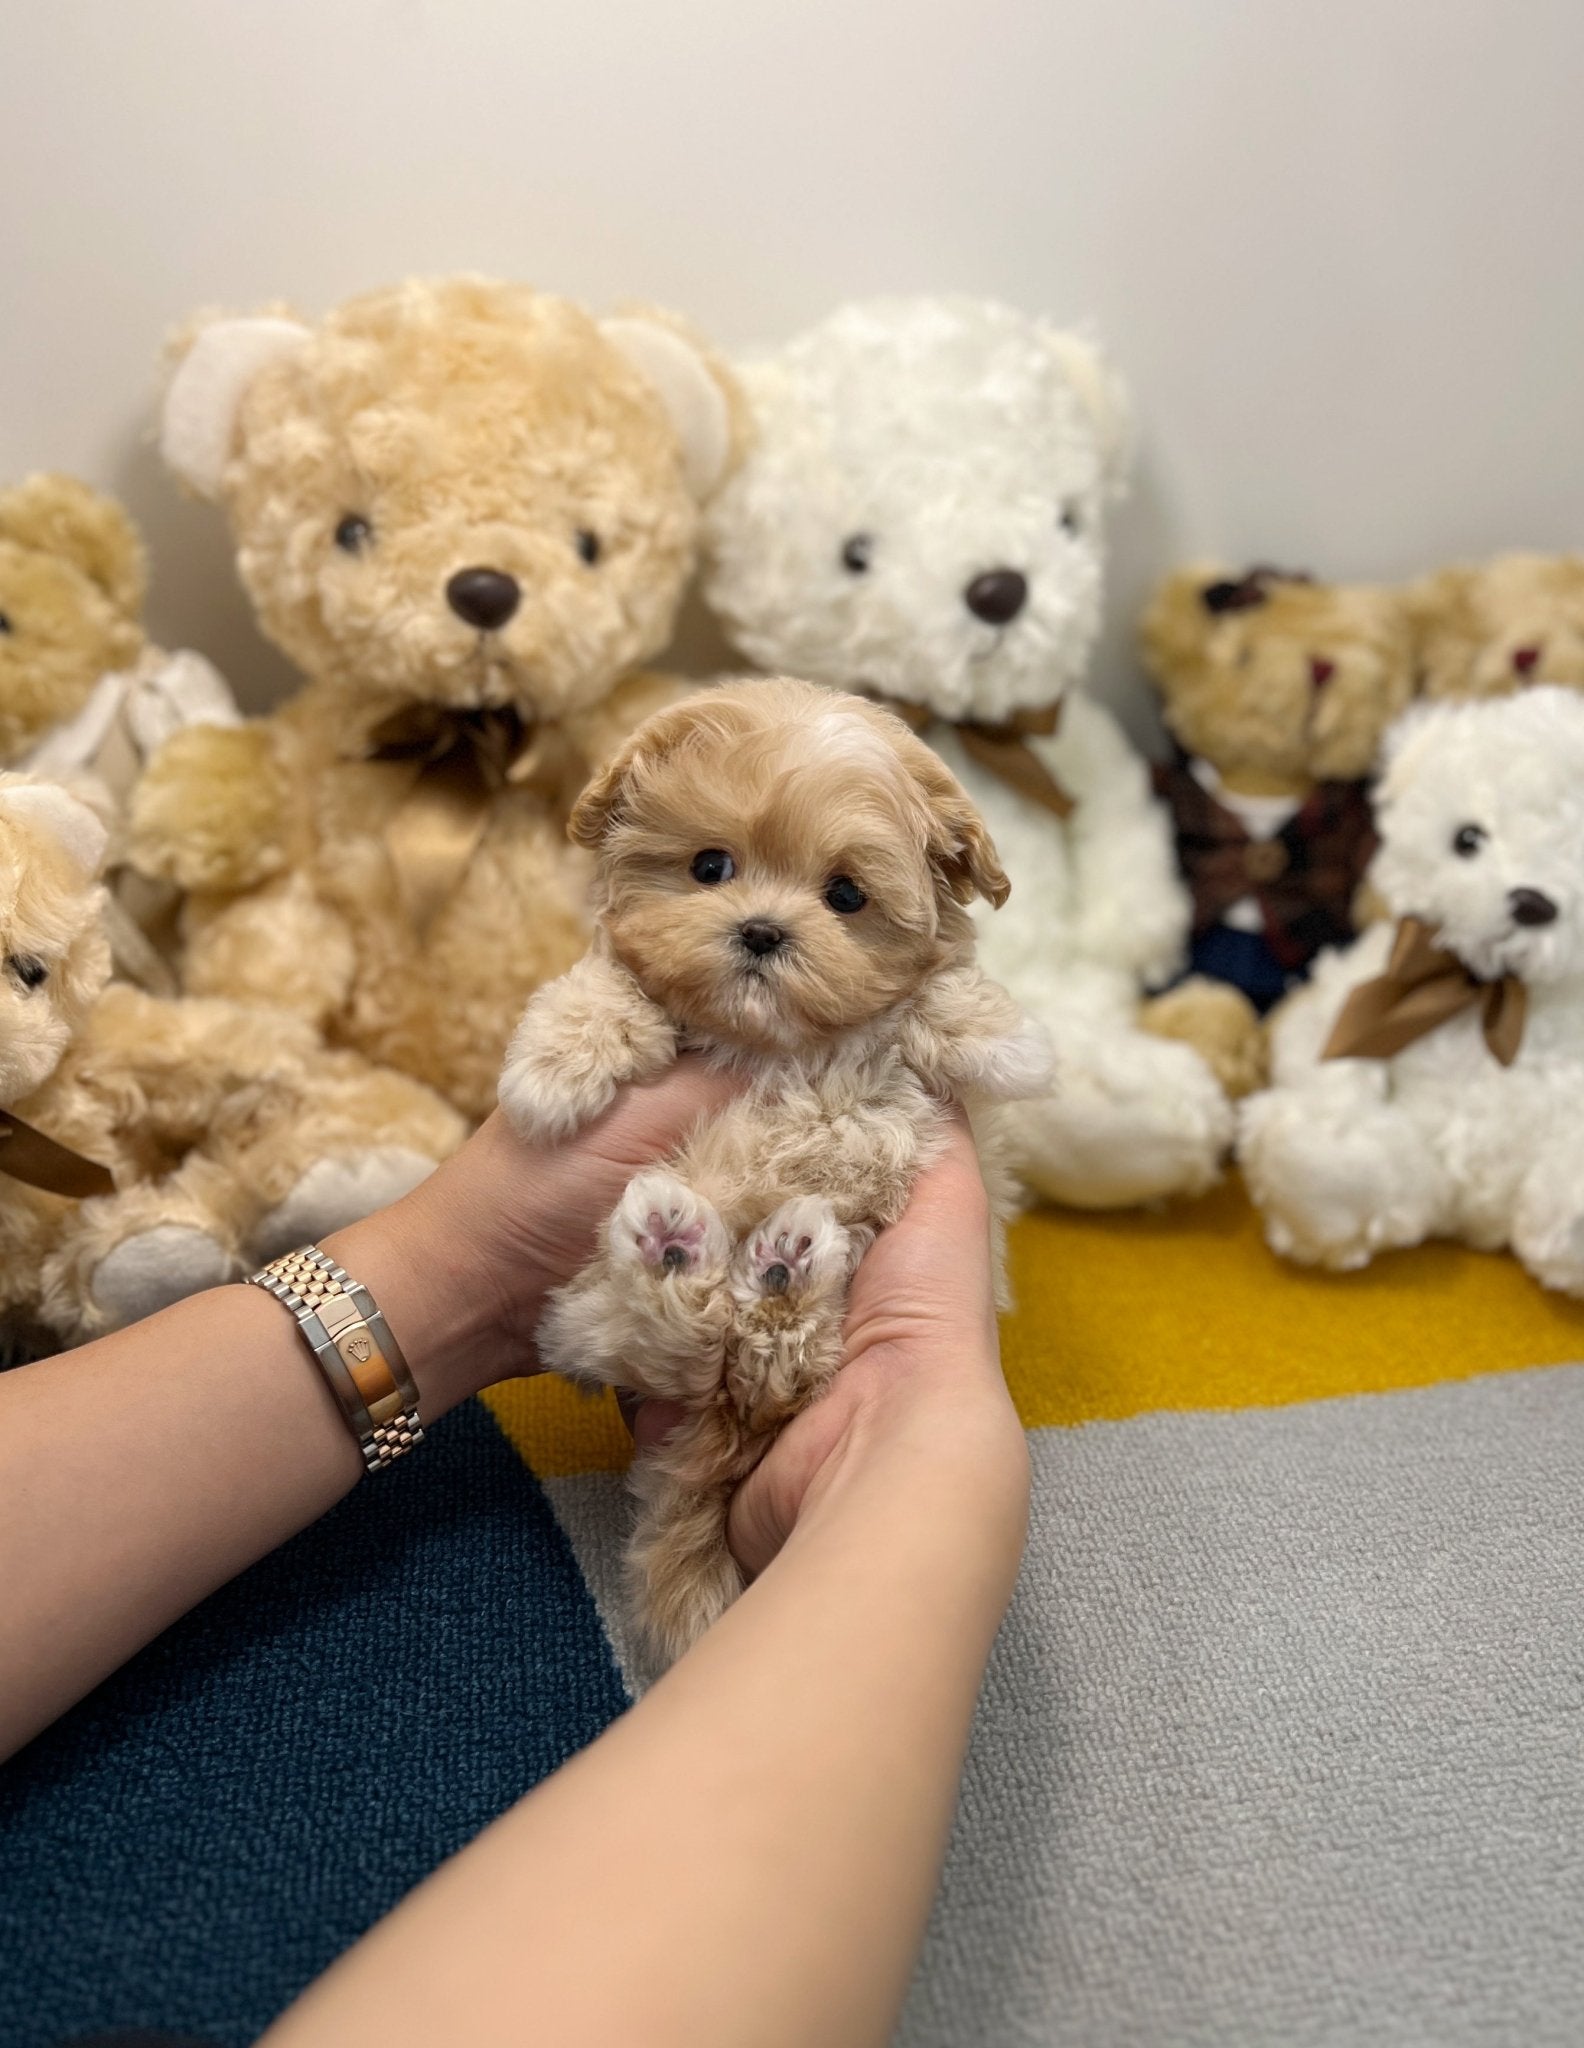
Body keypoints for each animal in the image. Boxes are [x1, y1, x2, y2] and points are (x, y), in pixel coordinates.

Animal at [499, 679, 1049, 1671]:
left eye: (846, 895)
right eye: (709, 866)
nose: (761, 932)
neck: (768, 1042)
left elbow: (932, 1001)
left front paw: (1000, 1036)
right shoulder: (623, 973)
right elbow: (602, 984)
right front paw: (554, 1067)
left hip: (816, 1327)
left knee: (762, 1367)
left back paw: (777, 1268)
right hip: (590, 1306)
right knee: (665, 1345)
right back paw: (681, 1248)